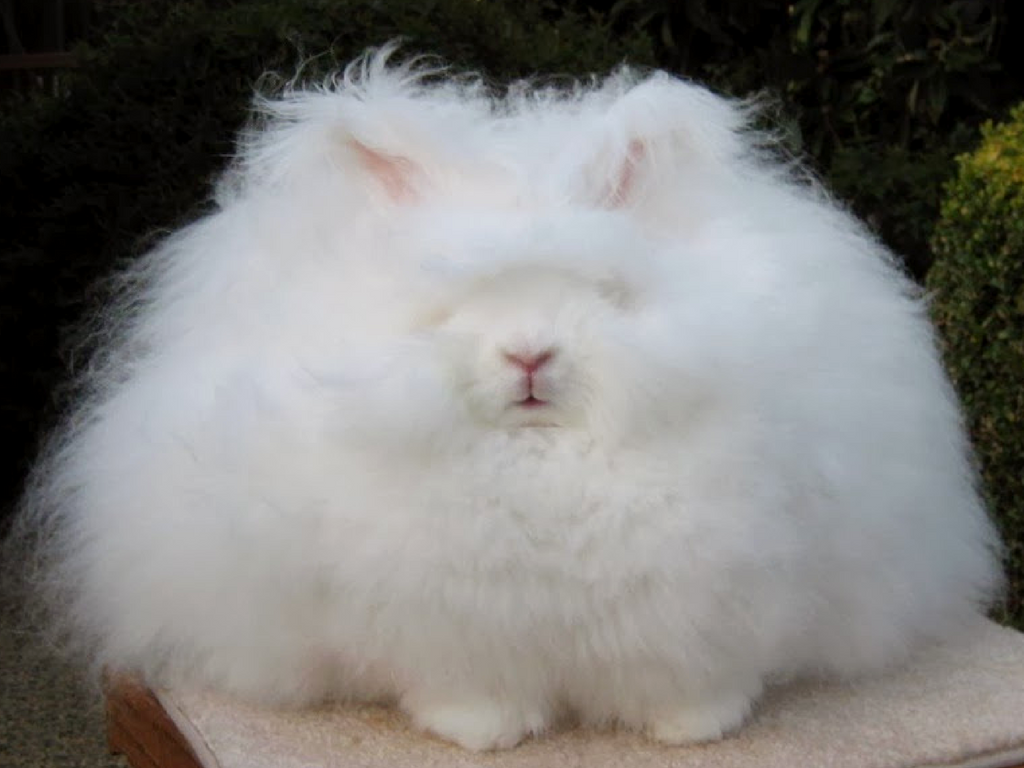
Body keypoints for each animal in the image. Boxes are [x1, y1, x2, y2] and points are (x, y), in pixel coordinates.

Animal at [14, 45, 1002, 751]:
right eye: (449, 304)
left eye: (602, 293)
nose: (530, 355)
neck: (540, 457)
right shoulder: (445, 619)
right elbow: (469, 685)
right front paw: (484, 734)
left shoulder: (717, 592)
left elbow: (690, 674)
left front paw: (694, 729)